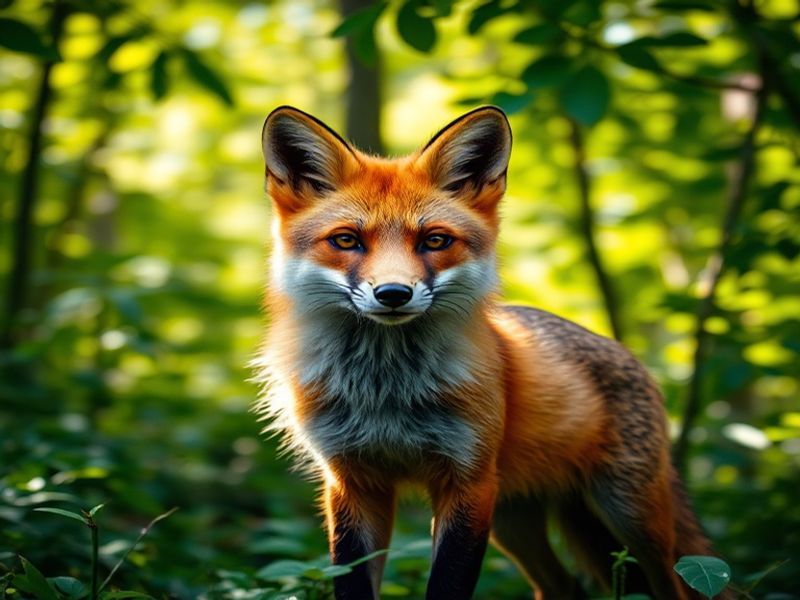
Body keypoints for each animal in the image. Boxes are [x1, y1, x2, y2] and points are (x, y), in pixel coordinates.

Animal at [255, 105, 726, 600]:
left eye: (435, 240)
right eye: (346, 240)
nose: (393, 294)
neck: (387, 392)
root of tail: (628, 354)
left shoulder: (470, 481)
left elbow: (446, 586)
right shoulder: (352, 482)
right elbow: (352, 583)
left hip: (629, 517)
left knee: (670, 585)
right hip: (517, 523)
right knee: (564, 588)